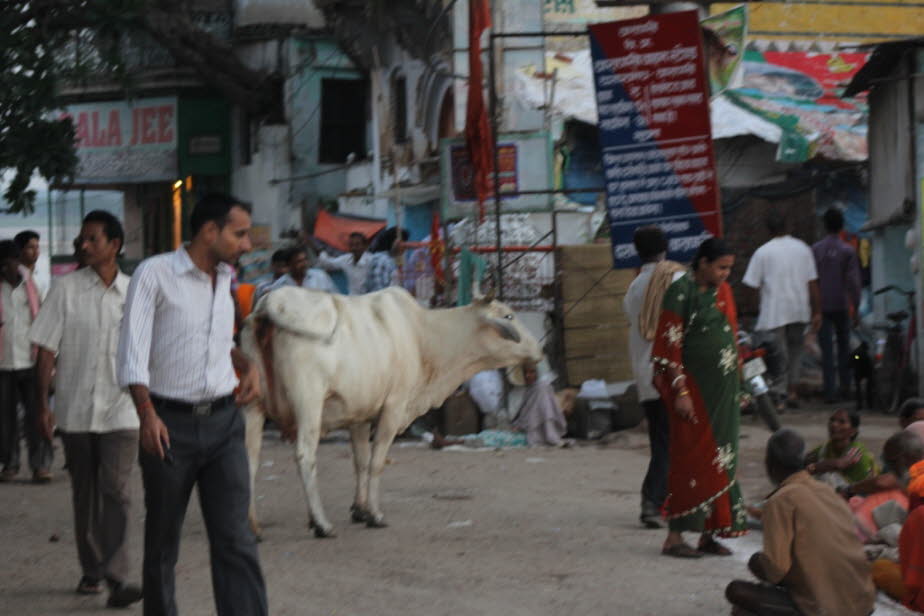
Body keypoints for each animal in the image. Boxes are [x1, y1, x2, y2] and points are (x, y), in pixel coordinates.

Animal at [240, 286, 540, 536]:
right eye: (509, 315)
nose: (538, 348)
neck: (423, 337)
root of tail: (269, 304)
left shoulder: (359, 415)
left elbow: (360, 461)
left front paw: (359, 509)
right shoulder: (393, 408)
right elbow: (376, 462)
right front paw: (374, 514)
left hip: (252, 404)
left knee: (249, 460)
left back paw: (252, 525)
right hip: (308, 403)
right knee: (305, 455)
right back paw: (321, 523)